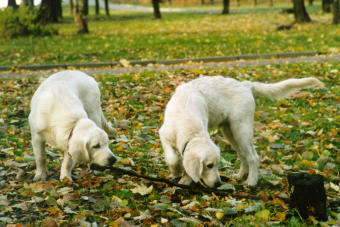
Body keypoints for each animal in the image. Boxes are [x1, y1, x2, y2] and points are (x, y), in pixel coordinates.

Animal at [159, 75, 324, 187]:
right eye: (209, 165)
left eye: (216, 165)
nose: (218, 184)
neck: (185, 120)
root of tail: (245, 84)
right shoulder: (164, 135)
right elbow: (172, 158)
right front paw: (177, 171)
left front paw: (183, 178)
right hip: (230, 131)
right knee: (243, 155)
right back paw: (239, 176)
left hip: (241, 129)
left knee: (253, 157)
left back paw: (251, 181)